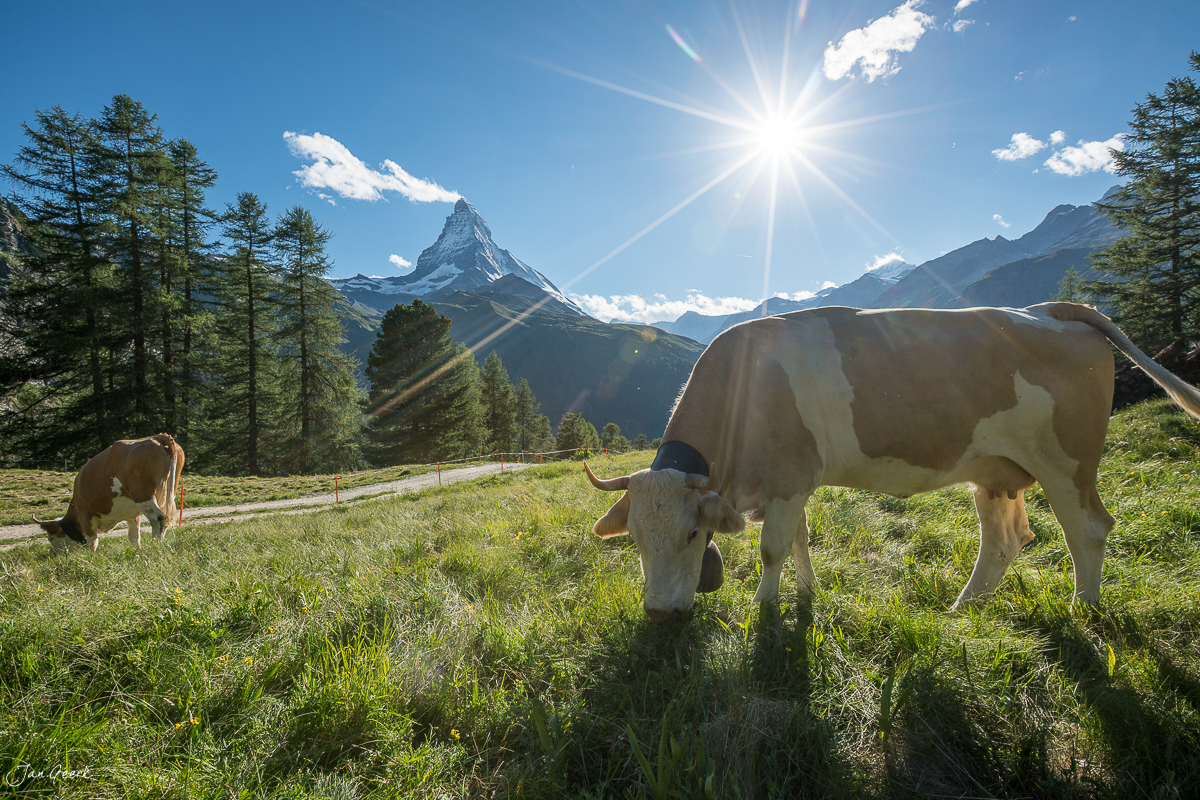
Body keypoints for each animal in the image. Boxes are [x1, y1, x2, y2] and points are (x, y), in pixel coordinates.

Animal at [36, 433, 185, 551]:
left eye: (50, 538)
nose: (51, 554)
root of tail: (156, 436)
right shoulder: (132, 515)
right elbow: (133, 537)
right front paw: (136, 551)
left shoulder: (85, 516)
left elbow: (92, 543)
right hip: (166, 495)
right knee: (165, 520)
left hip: (143, 496)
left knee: (158, 519)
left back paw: (156, 545)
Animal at [586, 303, 1200, 620]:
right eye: (634, 539)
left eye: (693, 534)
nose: (659, 614)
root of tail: (1048, 310)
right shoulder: (793, 484)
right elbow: (800, 541)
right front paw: (804, 593)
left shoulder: (788, 479)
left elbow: (771, 549)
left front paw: (764, 610)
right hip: (995, 470)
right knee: (1006, 539)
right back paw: (962, 610)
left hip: (1066, 462)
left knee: (1088, 530)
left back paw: (1083, 611)